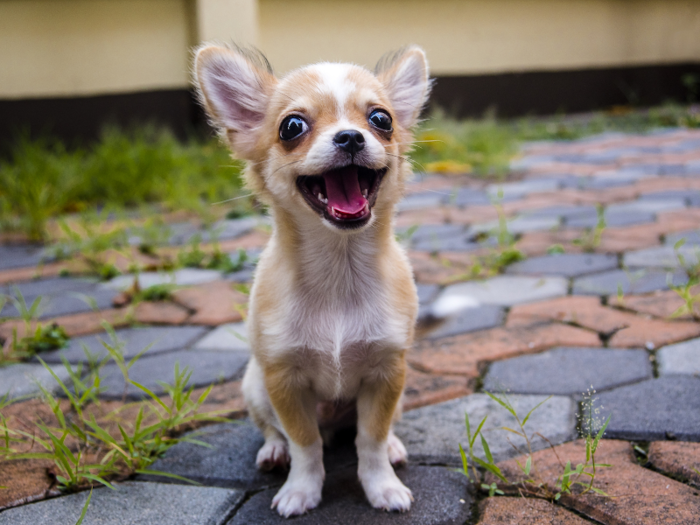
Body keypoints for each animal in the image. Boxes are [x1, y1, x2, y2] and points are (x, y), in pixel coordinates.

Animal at [194, 42, 430, 516]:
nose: (351, 137)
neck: (339, 269)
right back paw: (273, 451)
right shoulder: (283, 380)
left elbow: (370, 439)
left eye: (382, 120)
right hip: (255, 386)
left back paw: (394, 446)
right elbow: (305, 443)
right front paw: (301, 490)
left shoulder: (387, 373)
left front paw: (383, 486)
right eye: (292, 127)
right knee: (276, 430)